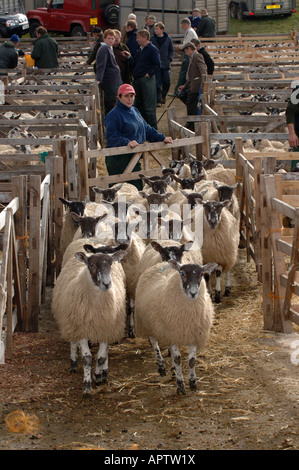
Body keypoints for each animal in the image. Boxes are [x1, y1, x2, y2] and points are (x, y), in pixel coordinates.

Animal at [52, 248, 127, 394]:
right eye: (91, 264)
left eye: (110, 264)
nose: (106, 284)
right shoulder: (82, 329)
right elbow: (87, 358)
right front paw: (86, 386)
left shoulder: (106, 328)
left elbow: (101, 357)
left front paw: (98, 375)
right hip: (71, 322)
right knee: (73, 342)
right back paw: (73, 363)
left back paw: (104, 373)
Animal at [135, 258, 217, 394]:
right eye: (182, 273)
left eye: (201, 274)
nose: (193, 293)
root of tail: (161, 264)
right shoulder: (172, 333)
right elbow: (178, 359)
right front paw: (180, 385)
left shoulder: (194, 334)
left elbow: (192, 360)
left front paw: (192, 382)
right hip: (149, 324)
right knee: (154, 343)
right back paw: (161, 366)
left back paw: (173, 370)